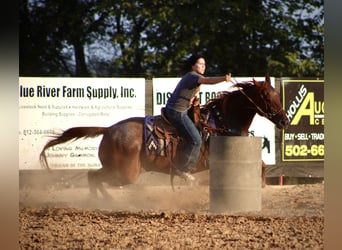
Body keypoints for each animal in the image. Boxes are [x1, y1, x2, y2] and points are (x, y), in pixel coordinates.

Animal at [39, 75, 288, 199]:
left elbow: (262, 164)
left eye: (278, 94)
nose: (285, 121)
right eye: (267, 97)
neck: (221, 120)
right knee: (94, 177)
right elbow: (260, 166)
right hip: (125, 173)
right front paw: (260, 185)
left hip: (118, 170)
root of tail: (109, 129)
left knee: (93, 177)